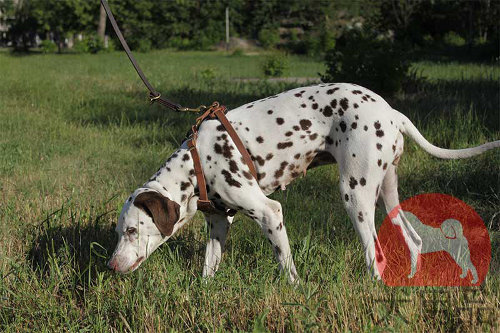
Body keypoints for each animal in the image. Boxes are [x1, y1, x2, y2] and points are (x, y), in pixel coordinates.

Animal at [107, 82, 498, 280]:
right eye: (119, 232)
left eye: (132, 231)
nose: (111, 266)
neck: (197, 162)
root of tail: (391, 111)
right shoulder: (219, 223)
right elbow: (208, 269)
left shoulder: (270, 213)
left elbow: (287, 267)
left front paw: (292, 291)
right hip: (386, 192)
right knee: (414, 241)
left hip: (355, 196)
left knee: (376, 254)